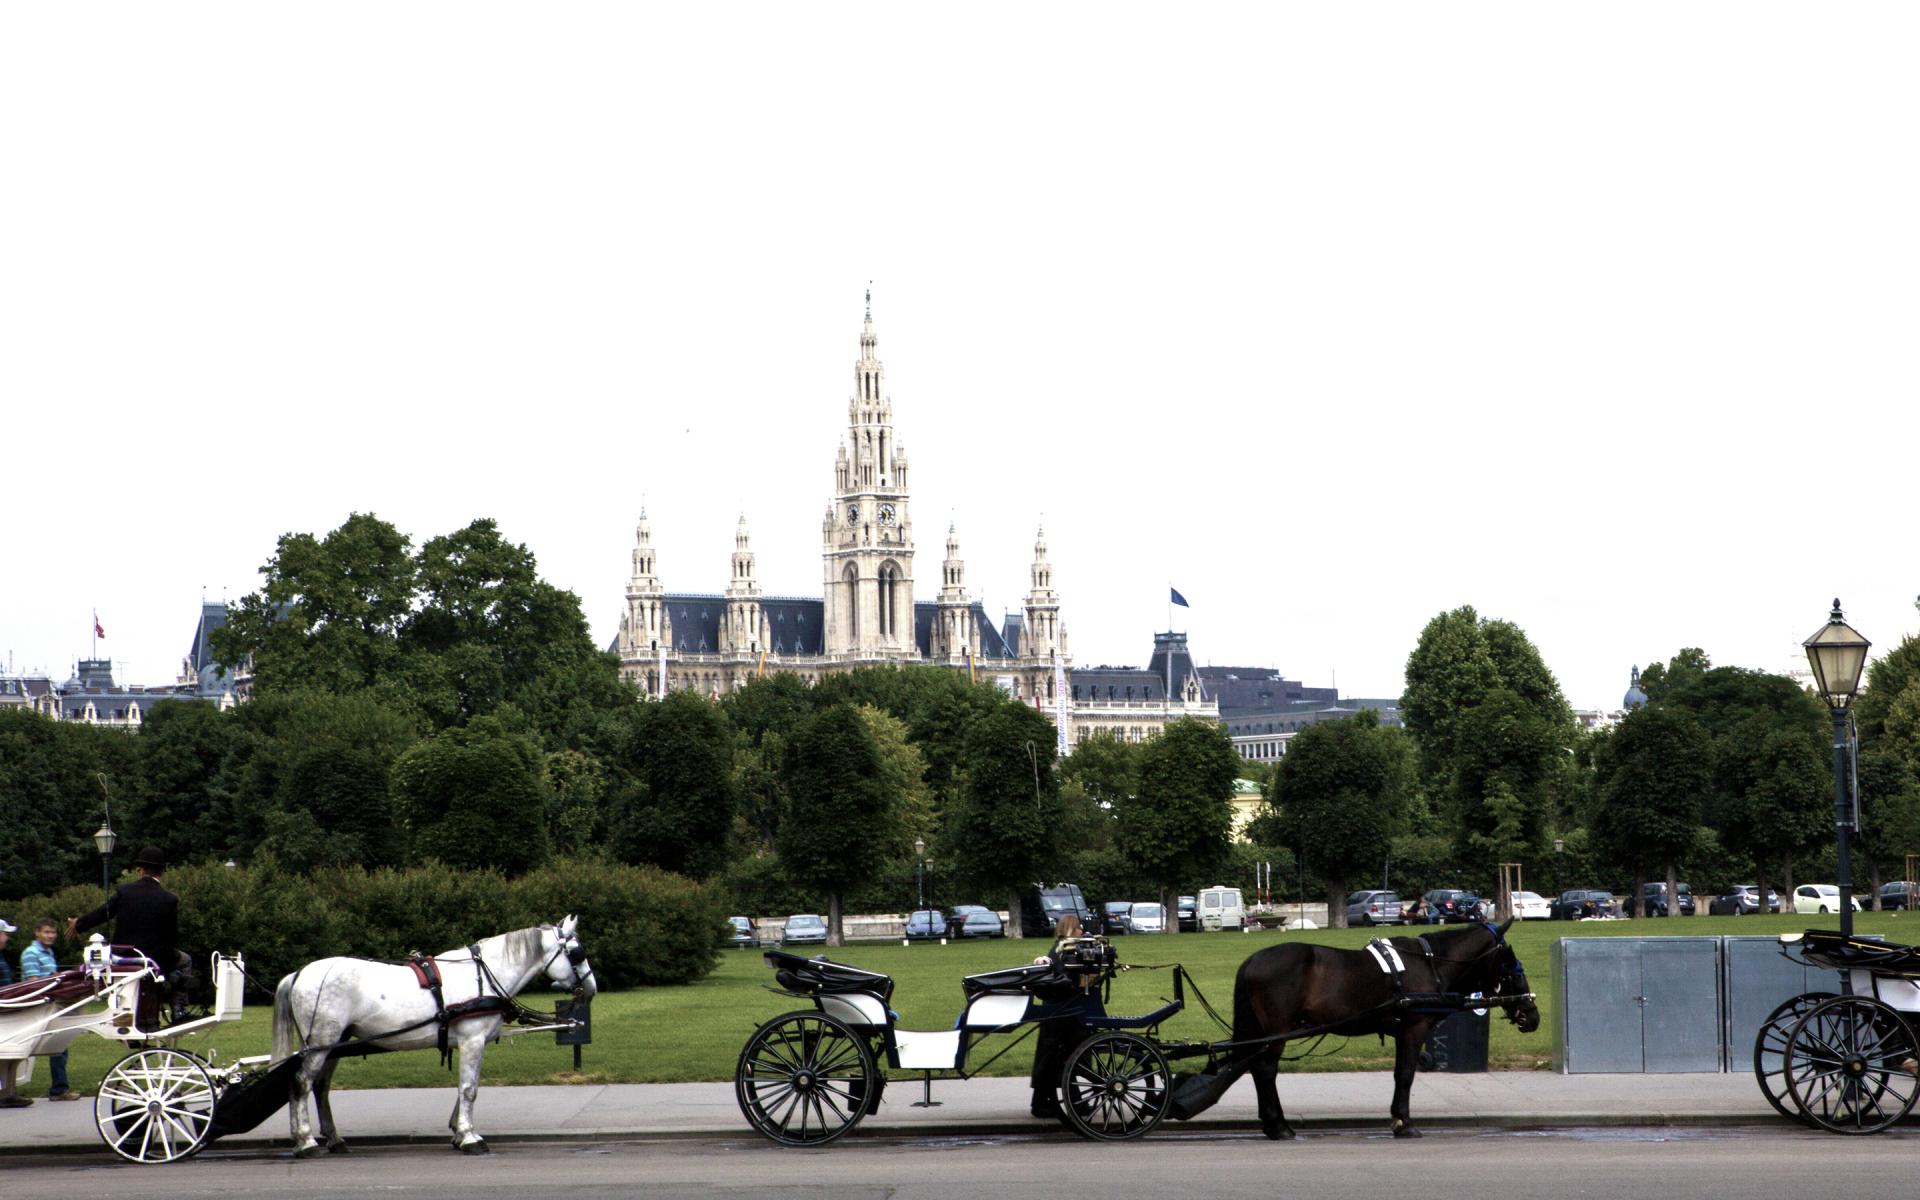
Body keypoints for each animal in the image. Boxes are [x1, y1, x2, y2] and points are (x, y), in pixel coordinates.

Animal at [270, 917, 595, 1152]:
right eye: (577, 953)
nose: (591, 989)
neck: (484, 975)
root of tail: (298, 973)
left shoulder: (470, 1043)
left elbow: (466, 1087)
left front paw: (459, 1132)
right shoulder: (472, 1040)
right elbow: (469, 1088)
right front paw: (469, 1138)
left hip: (335, 1042)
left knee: (318, 1086)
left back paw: (331, 1139)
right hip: (322, 1042)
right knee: (301, 1082)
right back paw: (306, 1141)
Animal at [1228, 921, 1543, 1136]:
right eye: (1511, 966)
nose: (1532, 1016)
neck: (1430, 965)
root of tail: (1252, 960)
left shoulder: (1402, 1032)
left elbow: (1399, 1073)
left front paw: (1398, 1117)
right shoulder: (1414, 1030)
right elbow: (1405, 1075)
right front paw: (1404, 1121)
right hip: (1276, 1031)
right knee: (1265, 1069)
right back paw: (1278, 1124)